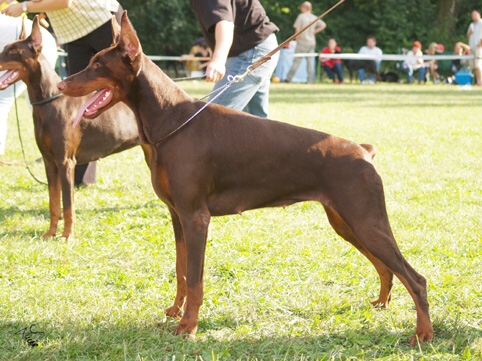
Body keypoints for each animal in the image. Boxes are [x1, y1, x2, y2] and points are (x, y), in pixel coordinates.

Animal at [0, 17, 150, 242]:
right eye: (4, 48)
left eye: (13, 52)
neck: (47, 102)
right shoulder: (50, 162)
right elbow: (54, 201)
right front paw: (51, 233)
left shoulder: (65, 162)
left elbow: (68, 204)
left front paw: (67, 236)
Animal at [58, 12, 434, 344]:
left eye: (97, 65)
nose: (61, 84)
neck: (170, 121)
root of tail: (363, 151)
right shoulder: (177, 215)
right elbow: (182, 271)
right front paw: (176, 312)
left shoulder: (196, 217)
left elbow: (195, 279)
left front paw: (188, 327)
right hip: (347, 222)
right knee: (386, 268)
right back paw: (382, 304)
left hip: (366, 219)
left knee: (415, 278)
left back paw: (423, 334)